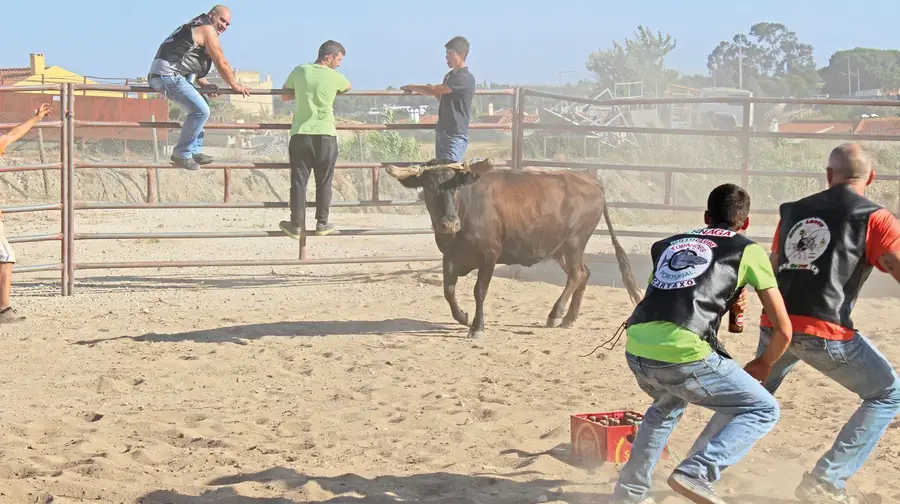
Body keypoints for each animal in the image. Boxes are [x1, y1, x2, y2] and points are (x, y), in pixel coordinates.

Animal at [384, 158, 644, 338]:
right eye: (427, 188)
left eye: (456, 187)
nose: (449, 223)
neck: (467, 210)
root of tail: (588, 179)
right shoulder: (449, 256)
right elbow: (448, 291)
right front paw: (463, 317)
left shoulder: (489, 256)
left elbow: (480, 291)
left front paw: (477, 326)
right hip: (560, 249)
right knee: (583, 273)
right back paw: (569, 317)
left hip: (574, 243)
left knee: (577, 275)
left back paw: (556, 314)